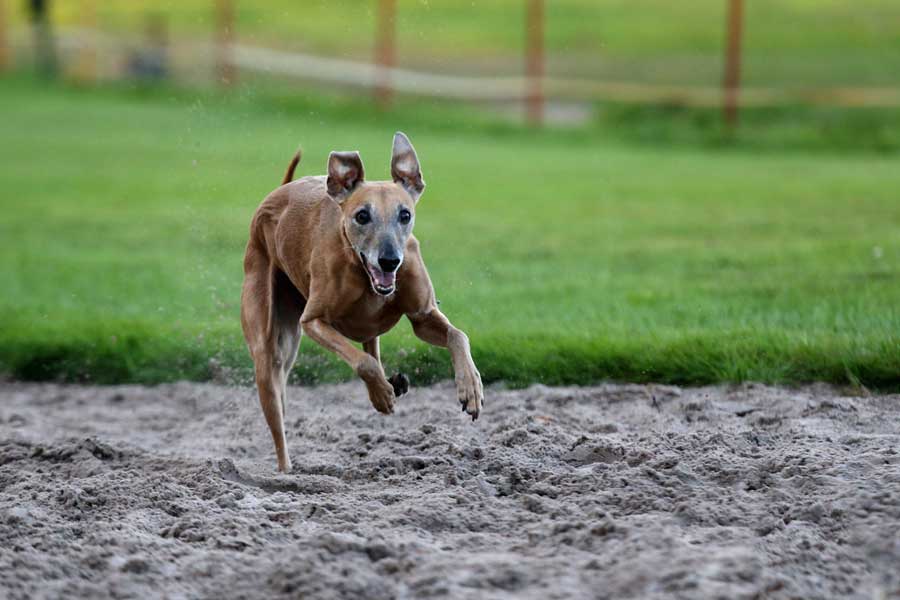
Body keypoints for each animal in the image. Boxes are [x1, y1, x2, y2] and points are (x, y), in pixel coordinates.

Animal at [241, 132, 486, 474]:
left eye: (405, 214)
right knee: (276, 400)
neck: (363, 274)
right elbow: (363, 362)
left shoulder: (423, 315)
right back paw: (287, 470)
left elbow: (457, 335)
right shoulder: (313, 321)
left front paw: (471, 389)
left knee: (372, 343)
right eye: (362, 216)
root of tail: (278, 192)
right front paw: (382, 395)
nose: (389, 261)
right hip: (270, 342)